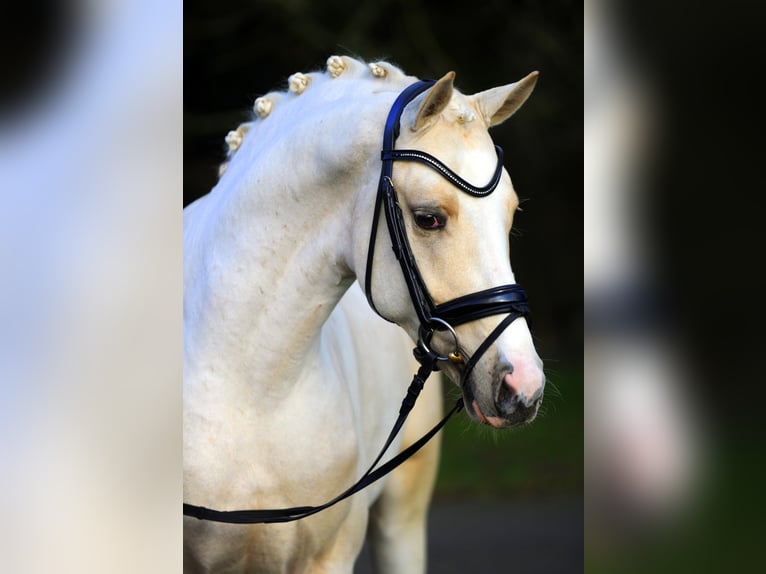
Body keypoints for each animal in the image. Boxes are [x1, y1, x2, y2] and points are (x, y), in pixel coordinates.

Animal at [183, 55, 545, 573]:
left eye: (510, 214)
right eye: (428, 218)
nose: (524, 385)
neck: (247, 390)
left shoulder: (329, 558)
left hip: (402, 521)